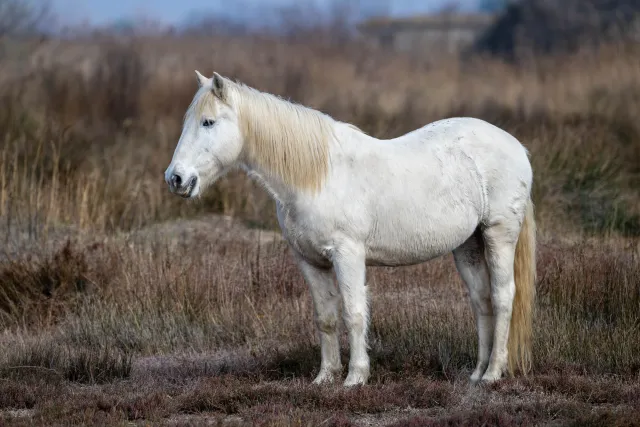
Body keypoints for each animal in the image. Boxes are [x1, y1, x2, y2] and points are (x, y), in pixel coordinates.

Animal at [165, 72, 536, 388]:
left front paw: (356, 377)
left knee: (503, 296)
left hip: (498, 234)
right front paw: (325, 376)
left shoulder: (348, 255)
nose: (176, 178)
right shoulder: (310, 261)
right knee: (481, 299)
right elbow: (326, 318)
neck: (318, 176)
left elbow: (354, 313)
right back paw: (477, 373)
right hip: (468, 245)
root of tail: (517, 146)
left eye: (208, 122)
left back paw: (493, 374)